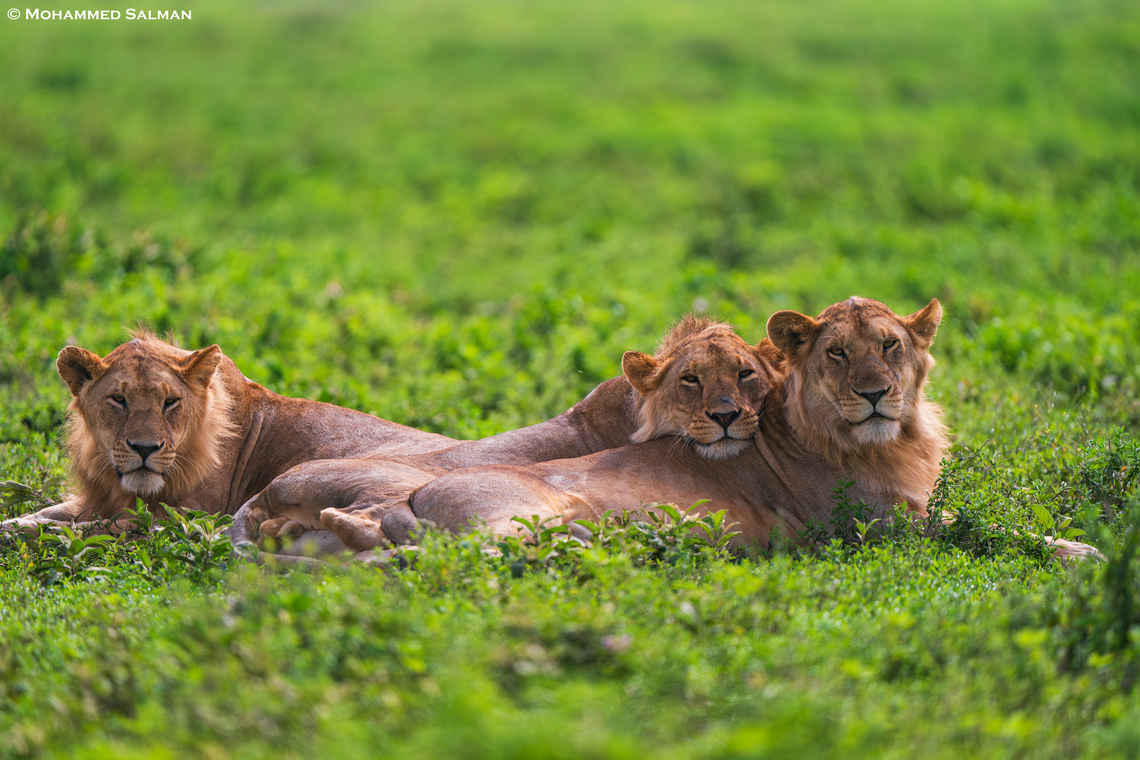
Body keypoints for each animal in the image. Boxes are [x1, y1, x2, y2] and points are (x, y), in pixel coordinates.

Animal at [229, 315, 784, 553]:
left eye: (745, 374)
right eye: (691, 380)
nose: (727, 415)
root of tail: (265, 491)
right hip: (391, 481)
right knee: (371, 518)